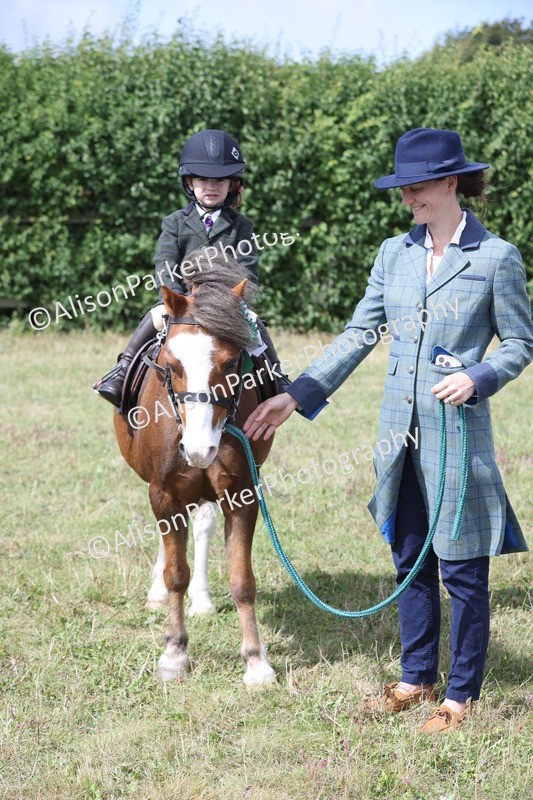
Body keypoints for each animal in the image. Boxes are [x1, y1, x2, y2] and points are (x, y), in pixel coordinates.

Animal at [114, 254, 276, 686]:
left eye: (233, 362)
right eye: (170, 365)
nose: (200, 450)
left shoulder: (241, 493)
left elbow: (242, 580)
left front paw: (256, 662)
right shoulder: (163, 492)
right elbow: (176, 573)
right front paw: (174, 654)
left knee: (201, 526)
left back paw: (201, 600)